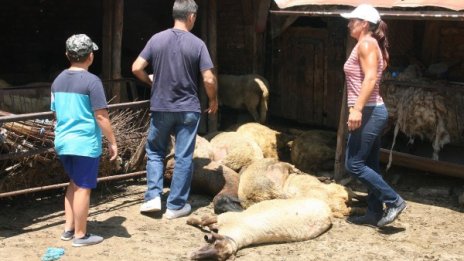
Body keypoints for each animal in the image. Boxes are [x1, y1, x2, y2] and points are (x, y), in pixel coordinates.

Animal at [187, 198, 332, 258]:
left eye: (218, 256)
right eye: (215, 245)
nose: (192, 256)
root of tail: (329, 212)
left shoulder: (226, 218)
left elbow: (206, 221)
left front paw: (191, 220)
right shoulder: (224, 218)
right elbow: (206, 221)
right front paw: (191, 221)